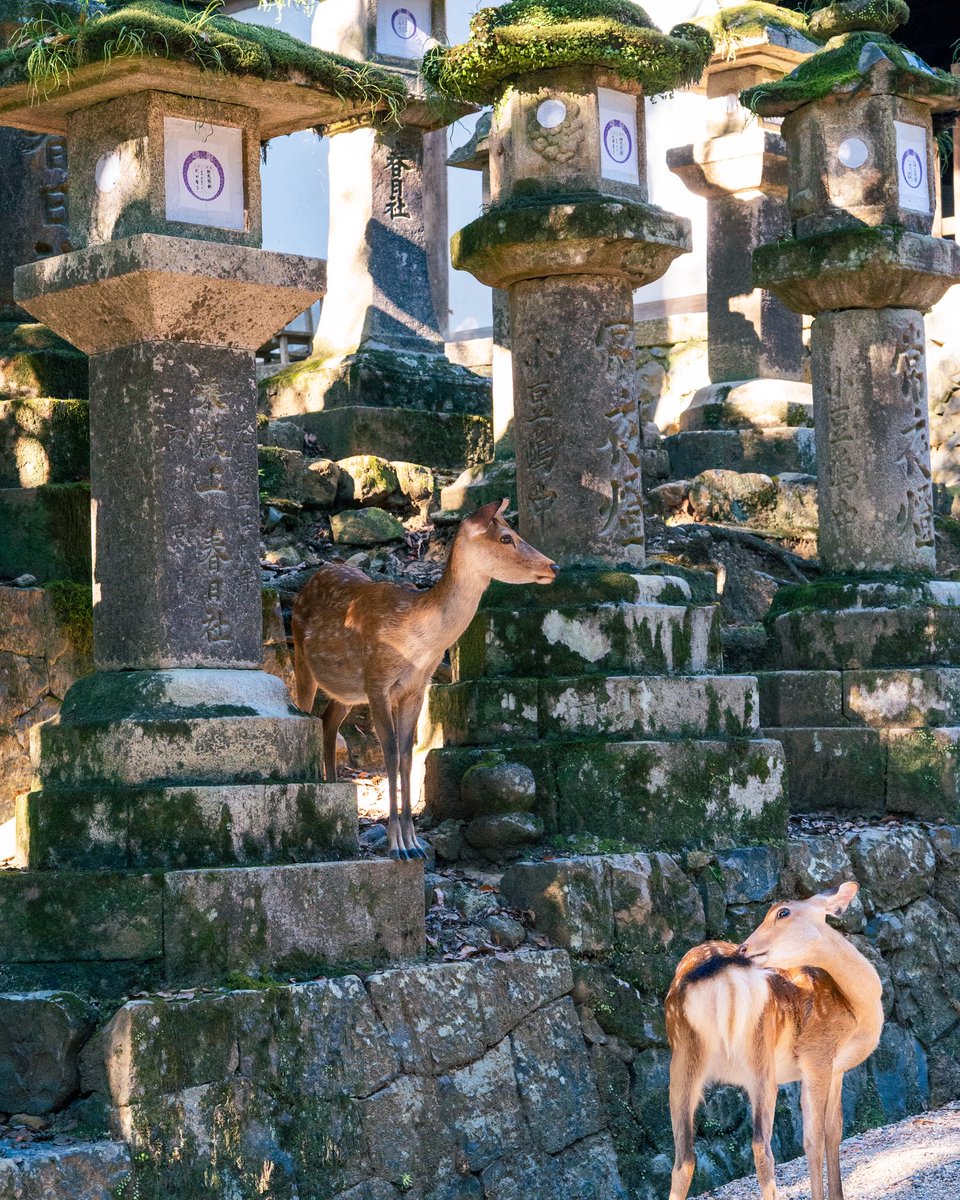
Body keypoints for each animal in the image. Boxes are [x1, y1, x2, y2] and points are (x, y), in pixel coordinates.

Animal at [291, 498, 558, 860]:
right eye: (506, 537)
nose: (553, 566)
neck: (417, 643)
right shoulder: (377, 683)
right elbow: (390, 753)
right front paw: (396, 845)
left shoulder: (416, 689)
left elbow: (407, 755)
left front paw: (414, 843)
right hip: (302, 662)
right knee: (306, 711)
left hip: (347, 691)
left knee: (328, 720)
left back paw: (334, 787)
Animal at [665, 881, 883, 1200]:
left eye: (783, 912)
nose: (744, 947)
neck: (857, 1010)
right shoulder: (816, 1055)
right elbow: (814, 1139)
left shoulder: (837, 1068)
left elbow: (835, 1130)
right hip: (760, 1055)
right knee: (761, 1146)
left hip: (681, 1056)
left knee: (683, 1159)